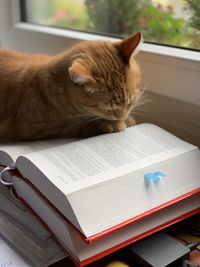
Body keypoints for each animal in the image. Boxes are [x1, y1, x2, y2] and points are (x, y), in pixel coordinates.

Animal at [0, 32, 141, 142]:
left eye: (130, 102)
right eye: (108, 109)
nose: (121, 117)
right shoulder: (34, 127)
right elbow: (79, 126)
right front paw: (114, 124)